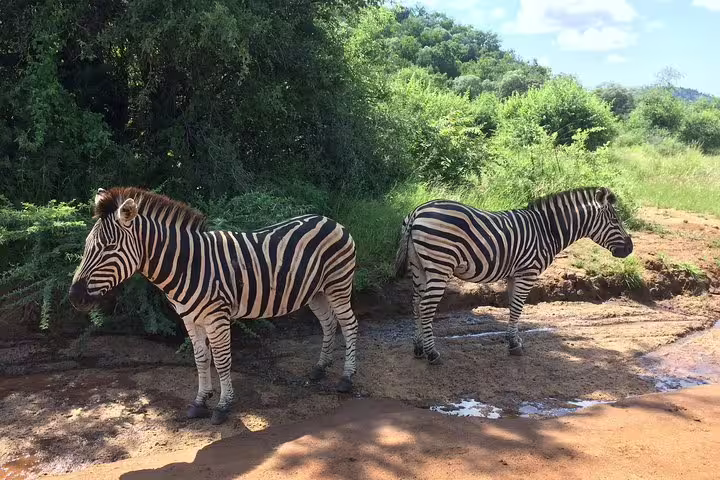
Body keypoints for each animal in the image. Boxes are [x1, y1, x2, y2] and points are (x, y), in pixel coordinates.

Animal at [69, 187, 359, 425]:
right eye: (87, 246)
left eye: (109, 248)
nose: (74, 297)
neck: (188, 265)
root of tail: (330, 220)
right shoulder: (190, 318)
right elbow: (200, 359)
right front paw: (200, 402)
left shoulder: (216, 318)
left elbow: (221, 360)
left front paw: (223, 406)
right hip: (316, 292)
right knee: (329, 323)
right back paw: (320, 369)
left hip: (338, 285)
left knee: (349, 325)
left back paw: (346, 378)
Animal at [394, 187, 633, 364]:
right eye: (615, 221)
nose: (630, 248)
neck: (547, 230)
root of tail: (417, 212)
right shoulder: (528, 273)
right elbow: (518, 308)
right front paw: (514, 345)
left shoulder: (513, 274)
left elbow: (512, 307)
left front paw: (512, 339)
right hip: (439, 265)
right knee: (426, 307)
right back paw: (432, 354)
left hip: (419, 267)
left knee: (416, 304)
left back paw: (418, 348)